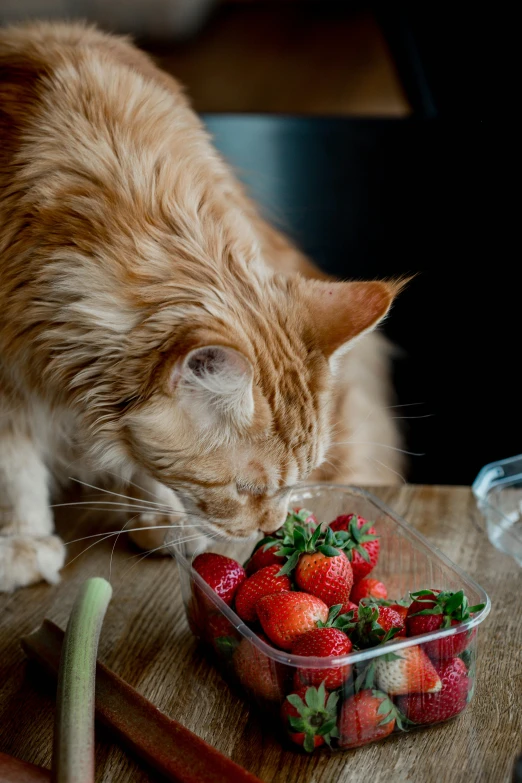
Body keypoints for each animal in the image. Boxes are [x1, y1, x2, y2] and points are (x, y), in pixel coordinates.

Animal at [0, 21, 406, 592]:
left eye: (298, 481)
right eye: (244, 490)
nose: (273, 527)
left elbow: (142, 460)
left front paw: (162, 514)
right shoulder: (8, 385)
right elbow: (15, 471)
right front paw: (23, 541)